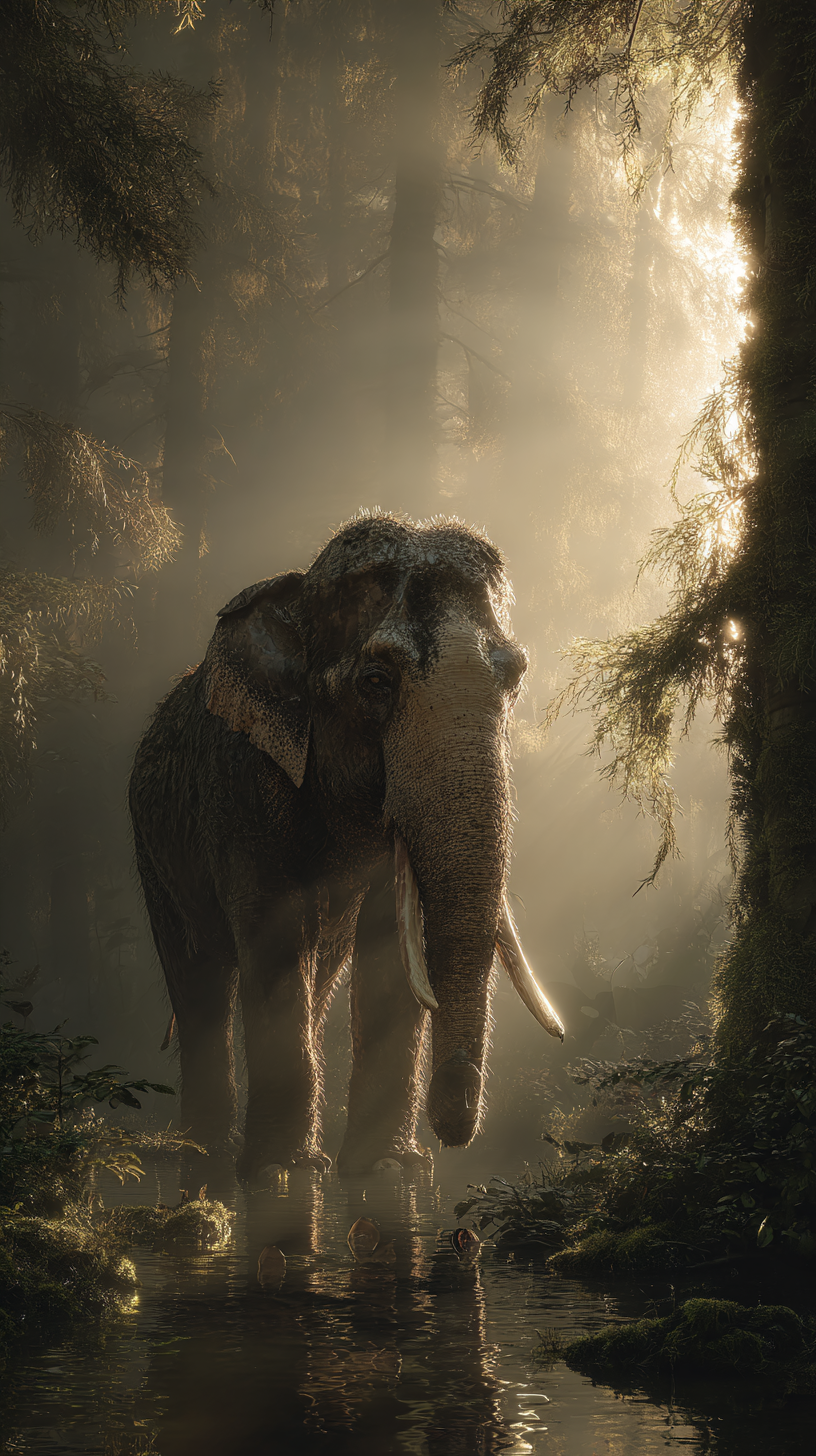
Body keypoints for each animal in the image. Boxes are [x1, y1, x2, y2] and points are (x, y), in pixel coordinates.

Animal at [129, 512, 563, 1179]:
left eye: (514, 675)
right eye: (375, 681)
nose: (453, 1131)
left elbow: (387, 945)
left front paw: (387, 1168)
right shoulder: (242, 784)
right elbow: (273, 939)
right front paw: (280, 1172)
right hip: (152, 848)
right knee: (201, 981)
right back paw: (209, 1158)